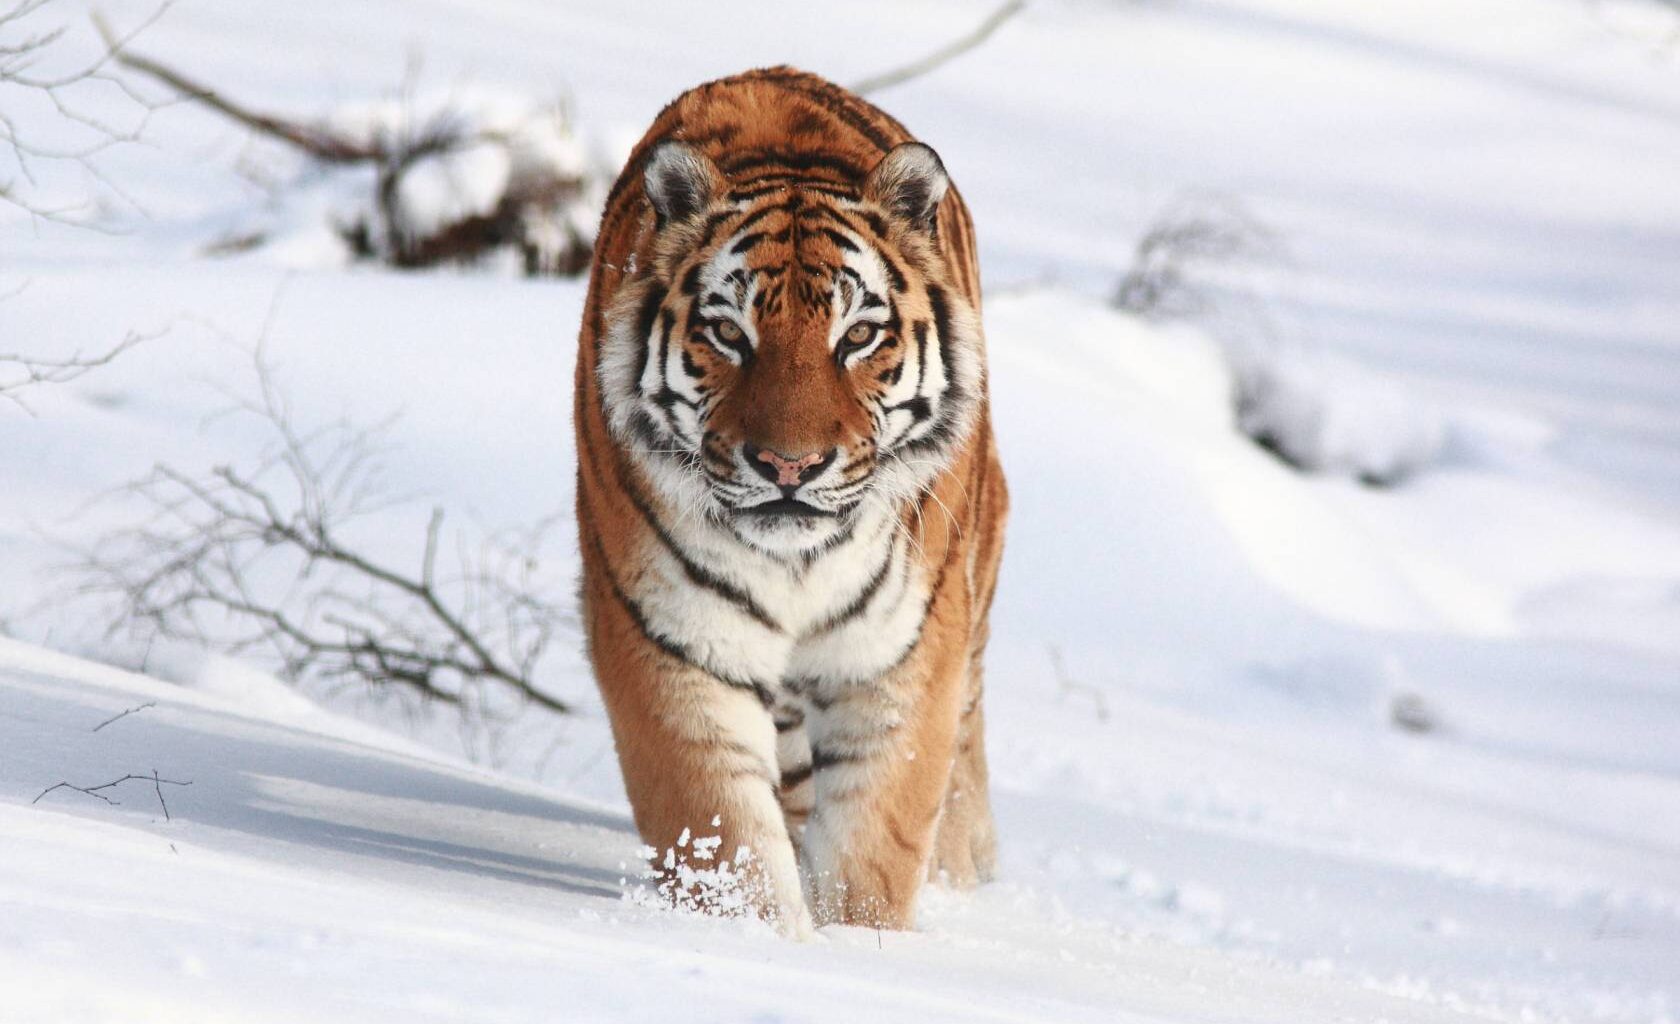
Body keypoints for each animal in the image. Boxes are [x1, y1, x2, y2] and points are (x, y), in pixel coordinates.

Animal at [572, 66, 1007, 937]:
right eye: (730, 334)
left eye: (858, 337)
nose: (789, 466)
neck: (800, 563)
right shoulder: (674, 646)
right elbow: (723, 837)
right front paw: (764, 942)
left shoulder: (900, 661)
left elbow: (875, 850)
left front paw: (857, 949)